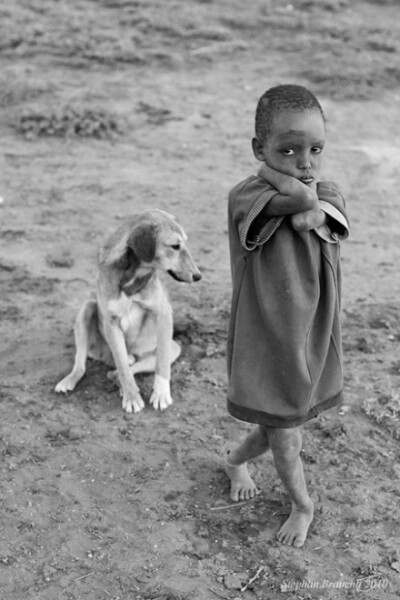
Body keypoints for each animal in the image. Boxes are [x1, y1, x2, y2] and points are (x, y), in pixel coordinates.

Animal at [54, 210, 202, 412]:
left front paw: (161, 394)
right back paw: (69, 381)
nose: (198, 276)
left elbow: (162, 365)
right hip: (87, 309)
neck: (133, 274)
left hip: (173, 348)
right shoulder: (111, 323)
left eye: (185, 243)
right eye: (175, 246)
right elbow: (123, 366)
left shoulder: (163, 315)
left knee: (126, 369)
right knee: (84, 365)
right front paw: (132, 397)